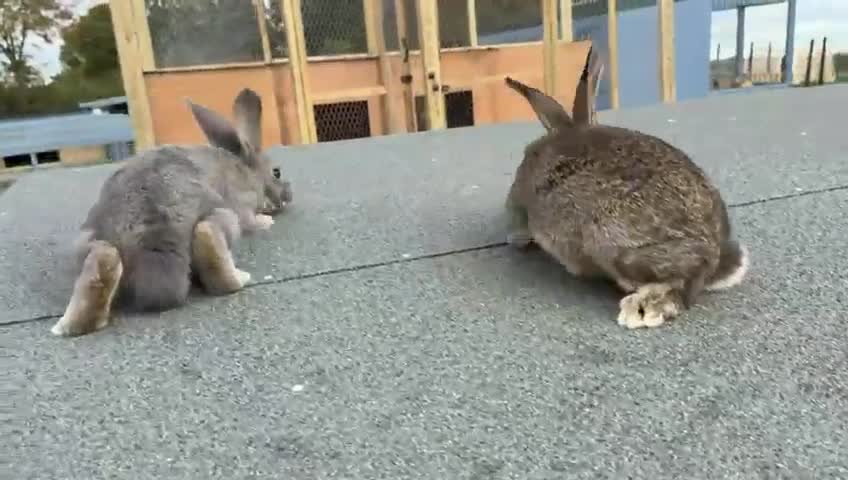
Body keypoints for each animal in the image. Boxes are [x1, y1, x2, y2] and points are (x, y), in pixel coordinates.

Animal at [50, 88, 292, 337]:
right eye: (277, 172)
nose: (288, 195)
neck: (248, 170)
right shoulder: (243, 205)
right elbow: (252, 221)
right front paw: (267, 221)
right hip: (225, 218)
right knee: (210, 240)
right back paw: (241, 277)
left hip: (88, 242)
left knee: (103, 260)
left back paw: (63, 327)